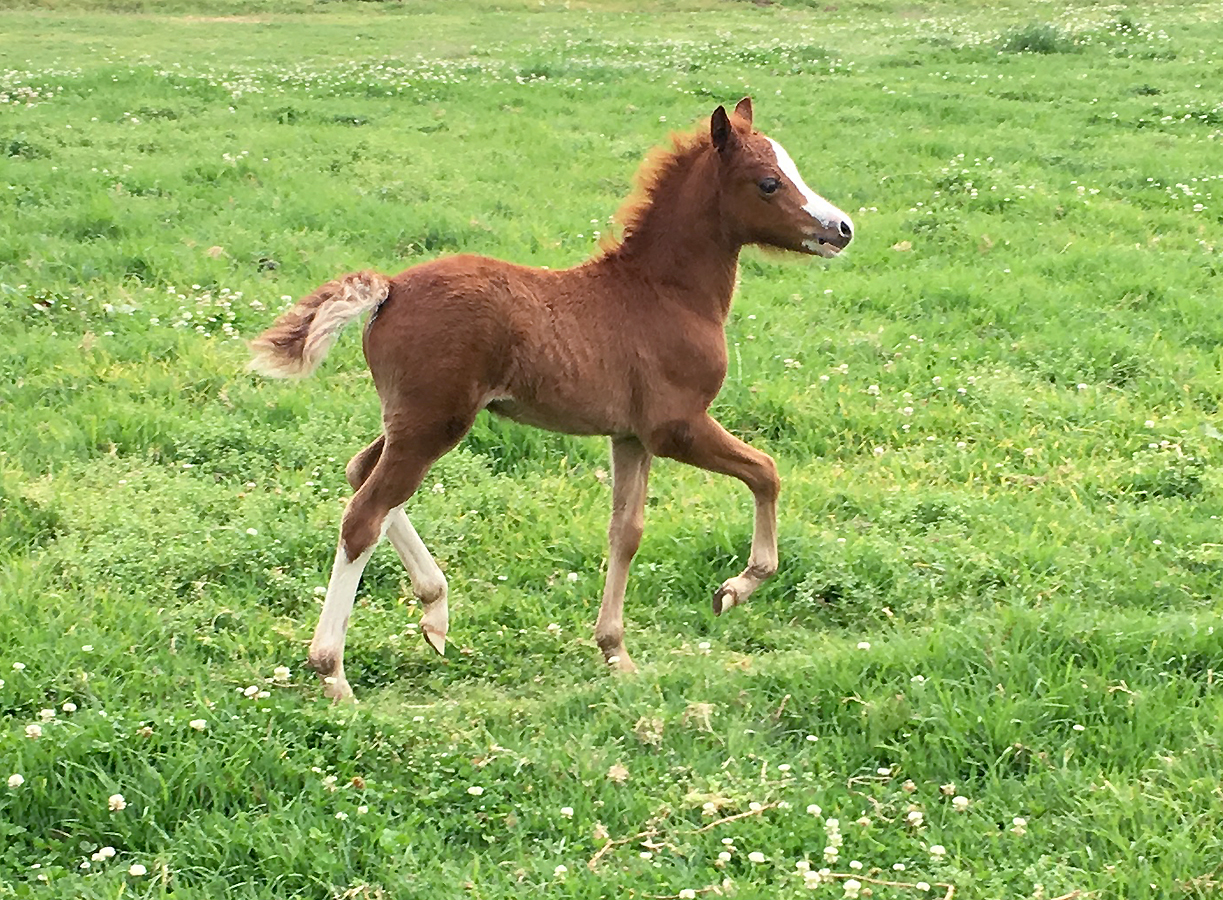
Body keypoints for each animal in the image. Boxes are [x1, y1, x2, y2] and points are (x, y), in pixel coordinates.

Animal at [249, 98, 854, 701]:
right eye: (769, 182)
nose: (842, 228)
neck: (665, 294)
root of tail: (390, 290)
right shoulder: (676, 427)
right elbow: (766, 471)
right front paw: (735, 588)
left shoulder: (629, 437)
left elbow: (626, 533)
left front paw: (615, 652)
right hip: (433, 423)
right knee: (365, 514)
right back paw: (333, 671)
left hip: (414, 419)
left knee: (361, 474)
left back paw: (434, 610)